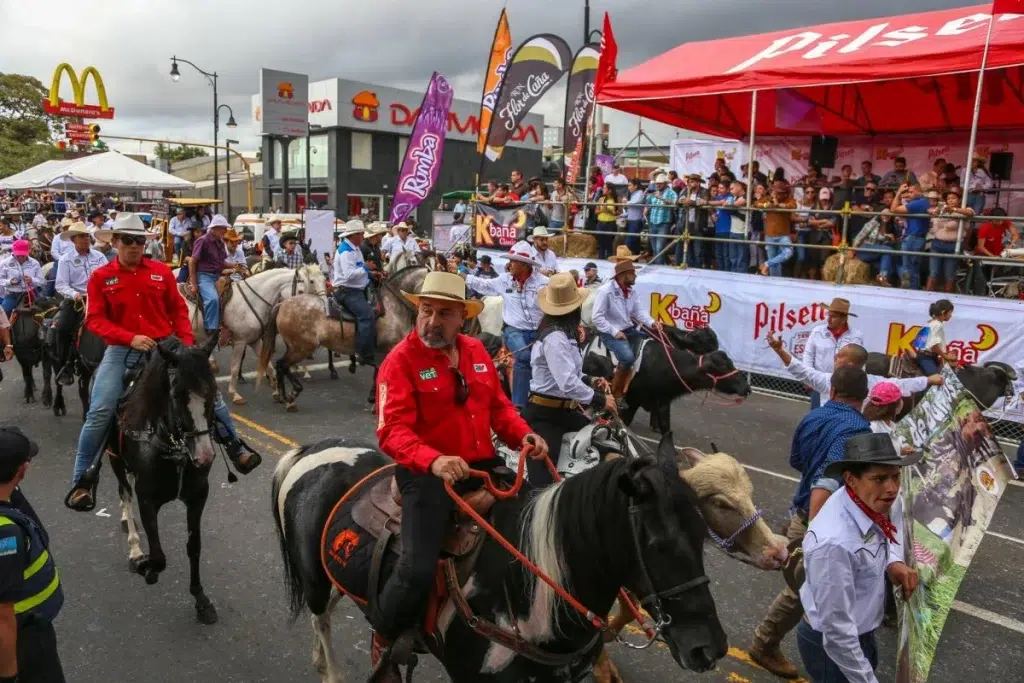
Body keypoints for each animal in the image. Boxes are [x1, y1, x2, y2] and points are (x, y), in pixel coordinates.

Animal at [102, 335, 223, 626]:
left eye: (214, 391)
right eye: (177, 395)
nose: (205, 456)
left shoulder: (198, 495)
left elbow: (194, 547)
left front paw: (201, 599)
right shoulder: (147, 499)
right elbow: (158, 556)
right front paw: (147, 567)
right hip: (115, 461)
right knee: (123, 492)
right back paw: (134, 547)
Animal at [182, 266, 325, 405]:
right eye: (300, 291)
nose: (305, 310)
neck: (252, 300)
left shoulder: (255, 341)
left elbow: (268, 365)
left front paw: (276, 392)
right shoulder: (240, 342)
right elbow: (235, 368)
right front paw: (235, 394)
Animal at [260, 264, 428, 409]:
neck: (392, 307)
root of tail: (283, 304)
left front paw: (373, 397)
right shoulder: (386, 350)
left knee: (283, 366)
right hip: (301, 348)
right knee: (281, 365)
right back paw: (290, 394)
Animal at [272, 432, 733, 683]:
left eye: (702, 538)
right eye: (657, 544)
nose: (708, 649)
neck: (533, 593)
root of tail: (311, 450)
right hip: (314, 580)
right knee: (322, 619)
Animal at [585, 327, 753, 432]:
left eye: (730, 363)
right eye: (721, 366)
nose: (746, 388)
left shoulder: (663, 402)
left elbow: (666, 427)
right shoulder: (632, 401)